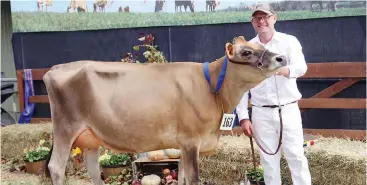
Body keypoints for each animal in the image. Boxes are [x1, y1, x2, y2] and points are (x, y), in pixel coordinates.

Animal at [44, 35, 288, 185]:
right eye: (246, 52)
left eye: (261, 47)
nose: (282, 57)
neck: (212, 88)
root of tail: (55, 69)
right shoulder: (190, 140)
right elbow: (193, 179)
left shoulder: (184, 145)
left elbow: (183, 177)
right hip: (65, 128)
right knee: (56, 166)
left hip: (90, 136)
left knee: (93, 168)